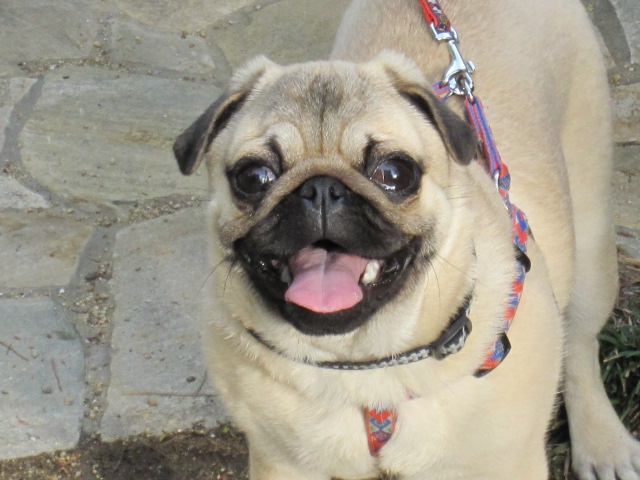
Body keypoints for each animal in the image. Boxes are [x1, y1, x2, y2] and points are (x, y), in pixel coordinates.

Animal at [173, 0, 640, 478]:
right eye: (253, 177)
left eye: (394, 174)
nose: (320, 188)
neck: (364, 369)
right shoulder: (282, 462)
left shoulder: (506, 463)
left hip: (591, 242)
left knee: (580, 342)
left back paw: (602, 443)